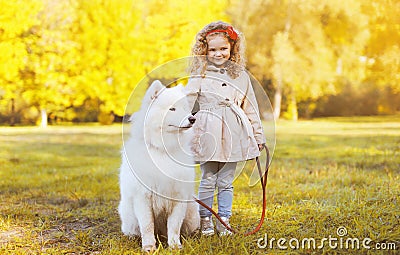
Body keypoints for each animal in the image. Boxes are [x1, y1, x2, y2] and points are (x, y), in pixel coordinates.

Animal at [119, 81, 200, 251]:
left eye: (185, 108)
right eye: (172, 109)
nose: (192, 119)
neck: (164, 149)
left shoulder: (179, 197)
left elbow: (174, 226)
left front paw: (175, 246)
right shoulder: (142, 197)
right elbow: (147, 225)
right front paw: (149, 247)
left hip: (192, 212)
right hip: (128, 214)